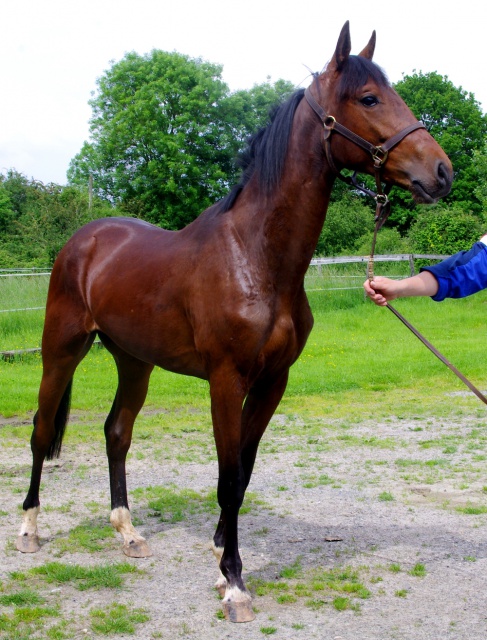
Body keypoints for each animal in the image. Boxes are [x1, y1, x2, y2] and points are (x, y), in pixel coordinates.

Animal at [17, 22, 456, 624]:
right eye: (369, 98)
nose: (442, 173)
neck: (255, 256)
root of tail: (84, 239)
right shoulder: (226, 381)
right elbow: (227, 478)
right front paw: (235, 584)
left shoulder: (273, 382)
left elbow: (243, 474)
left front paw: (223, 555)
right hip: (62, 351)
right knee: (41, 431)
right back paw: (29, 530)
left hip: (134, 361)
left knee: (116, 432)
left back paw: (128, 533)